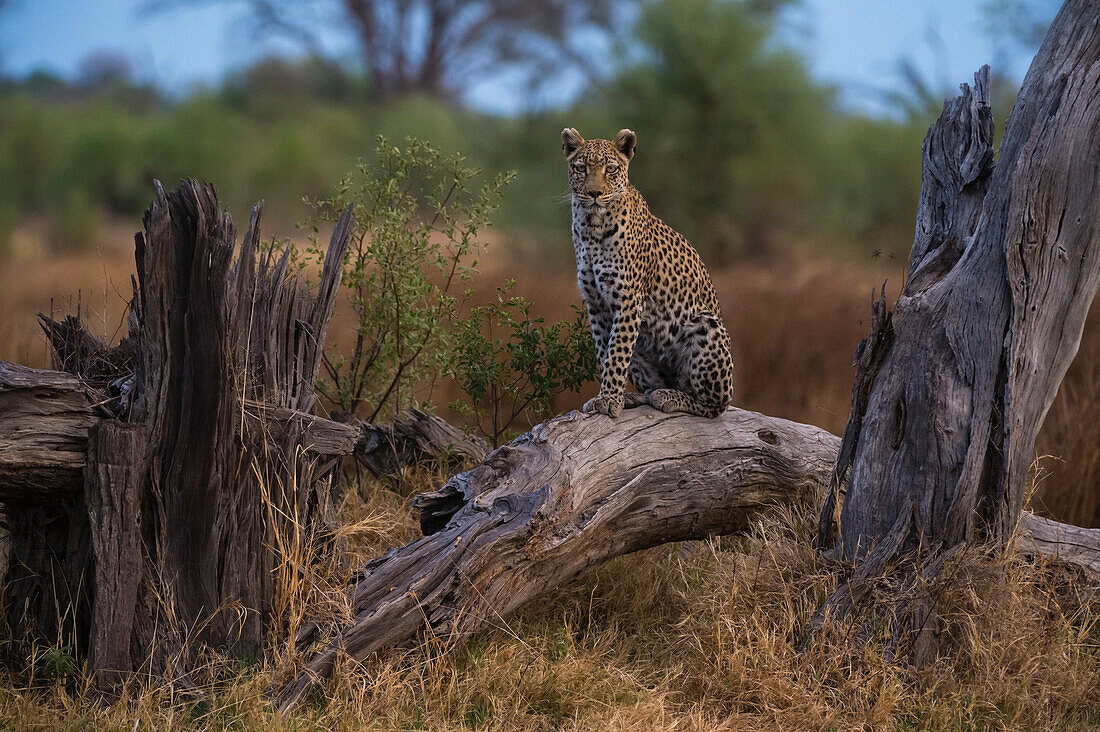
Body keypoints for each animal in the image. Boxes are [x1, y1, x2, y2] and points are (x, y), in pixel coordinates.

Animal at [563, 128, 734, 420]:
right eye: (581, 168)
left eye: (610, 169)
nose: (594, 193)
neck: (590, 227)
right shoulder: (596, 304)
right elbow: (605, 351)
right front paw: (610, 396)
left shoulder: (628, 300)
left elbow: (616, 353)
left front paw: (609, 399)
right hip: (644, 344)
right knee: (652, 383)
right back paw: (637, 396)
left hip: (706, 325)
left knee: (713, 405)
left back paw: (670, 397)